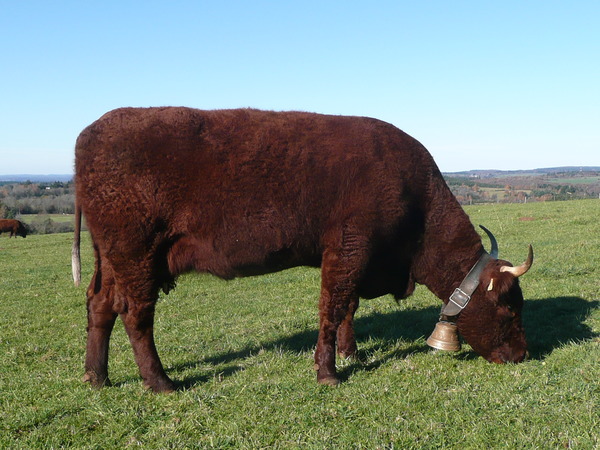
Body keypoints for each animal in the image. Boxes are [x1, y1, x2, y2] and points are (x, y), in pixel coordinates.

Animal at [71, 107, 536, 392]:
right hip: (137, 256)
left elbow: (348, 307)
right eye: (509, 308)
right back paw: (160, 382)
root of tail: (90, 133)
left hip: (111, 259)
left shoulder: (354, 259)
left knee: (100, 305)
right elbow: (332, 307)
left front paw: (350, 352)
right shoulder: (347, 250)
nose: (523, 356)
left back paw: (97, 377)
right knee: (136, 314)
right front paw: (328, 372)